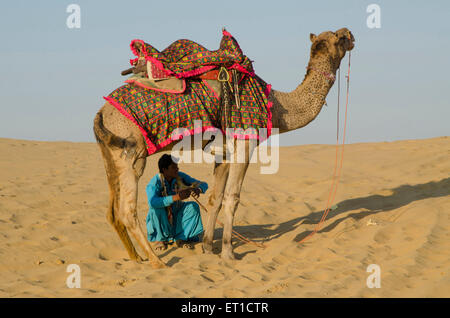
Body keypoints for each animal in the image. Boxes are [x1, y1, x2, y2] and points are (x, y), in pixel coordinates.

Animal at [94, 28, 356, 268]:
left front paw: (208, 248)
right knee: (127, 211)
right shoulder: (245, 142)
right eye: (339, 38)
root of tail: (101, 112)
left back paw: (136, 258)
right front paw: (229, 253)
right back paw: (157, 261)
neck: (276, 106)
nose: (350, 33)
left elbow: (215, 198)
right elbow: (232, 197)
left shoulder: (224, 152)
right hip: (132, 154)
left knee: (112, 212)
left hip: (109, 155)